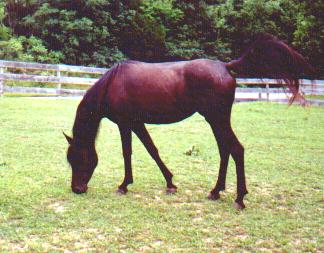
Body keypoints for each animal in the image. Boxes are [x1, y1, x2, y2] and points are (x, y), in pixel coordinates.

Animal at [64, 34, 316, 211]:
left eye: (77, 158)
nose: (77, 189)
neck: (112, 84)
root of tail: (226, 67)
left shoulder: (126, 124)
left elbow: (128, 153)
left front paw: (124, 185)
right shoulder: (137, 124)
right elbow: (152, 150)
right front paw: (170, 183)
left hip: (217, 119)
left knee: (236, 149)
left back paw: (239, 198)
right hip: (215, 120)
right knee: (225, 150)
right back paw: (216, 191)